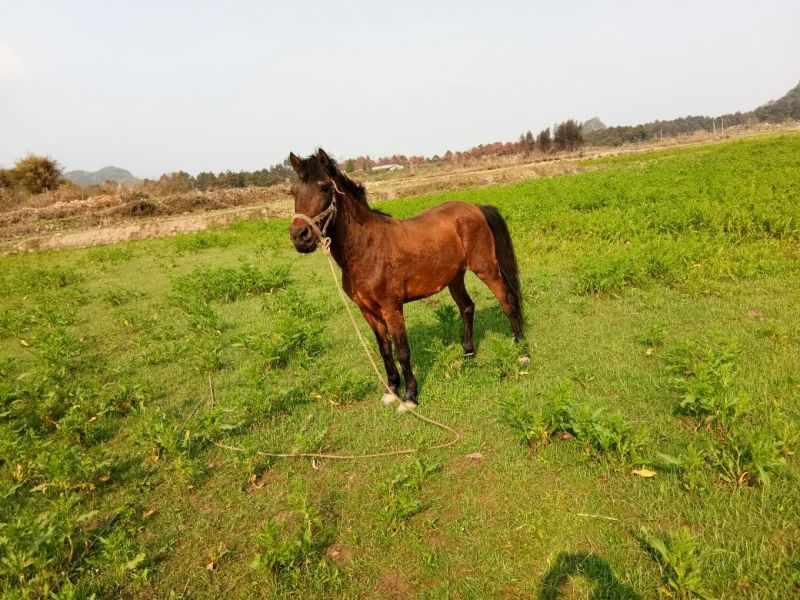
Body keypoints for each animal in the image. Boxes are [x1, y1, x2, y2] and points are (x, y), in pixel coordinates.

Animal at [288, 148, 526, 411]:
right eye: (293, 191)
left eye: (324, 187)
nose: (299, 236)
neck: (367, 249)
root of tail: (475, 208)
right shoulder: (367, 311)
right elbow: (384, 350)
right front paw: (391, 389)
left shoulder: (392, 308)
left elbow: (402, 351)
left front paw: (410, 397)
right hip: (454, 278)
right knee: (467, 307)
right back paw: (467, 355)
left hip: (486, 269)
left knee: (507, 302)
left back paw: (522, 352)